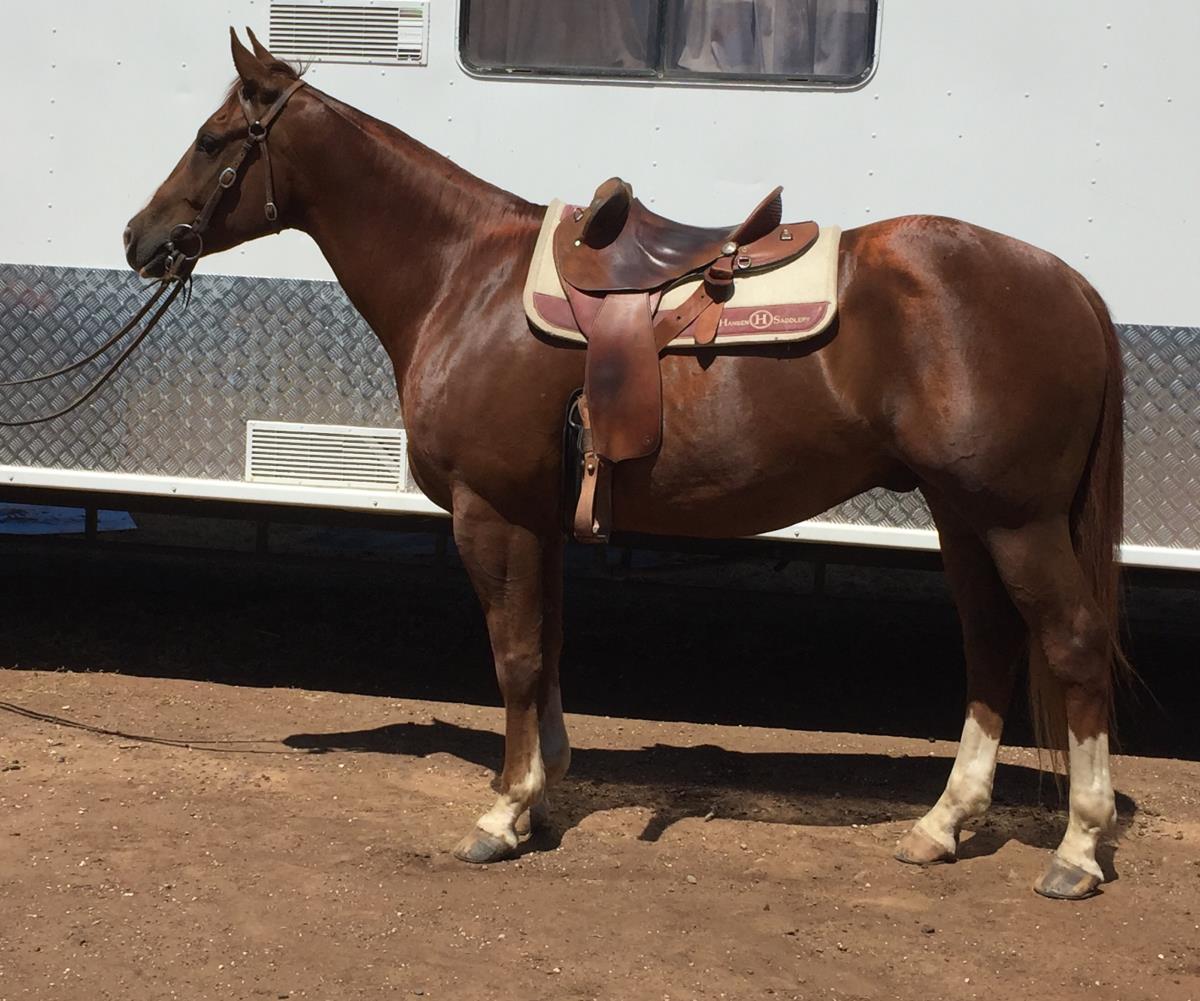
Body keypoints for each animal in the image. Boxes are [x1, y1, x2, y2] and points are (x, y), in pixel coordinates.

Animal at [123, 30, 1129, 900]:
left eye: (212, 140)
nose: (138, 237)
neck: (464, 279)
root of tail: (1072, 285)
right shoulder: (539, 520)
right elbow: (548, 647)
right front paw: (539, 791)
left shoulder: (490, 513)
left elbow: (516, 656)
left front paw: (501, 814)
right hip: (965, 516)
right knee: (991, 645)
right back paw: (940, 826)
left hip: (1017, 520)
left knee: (1073, 643)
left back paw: (1077, 848)